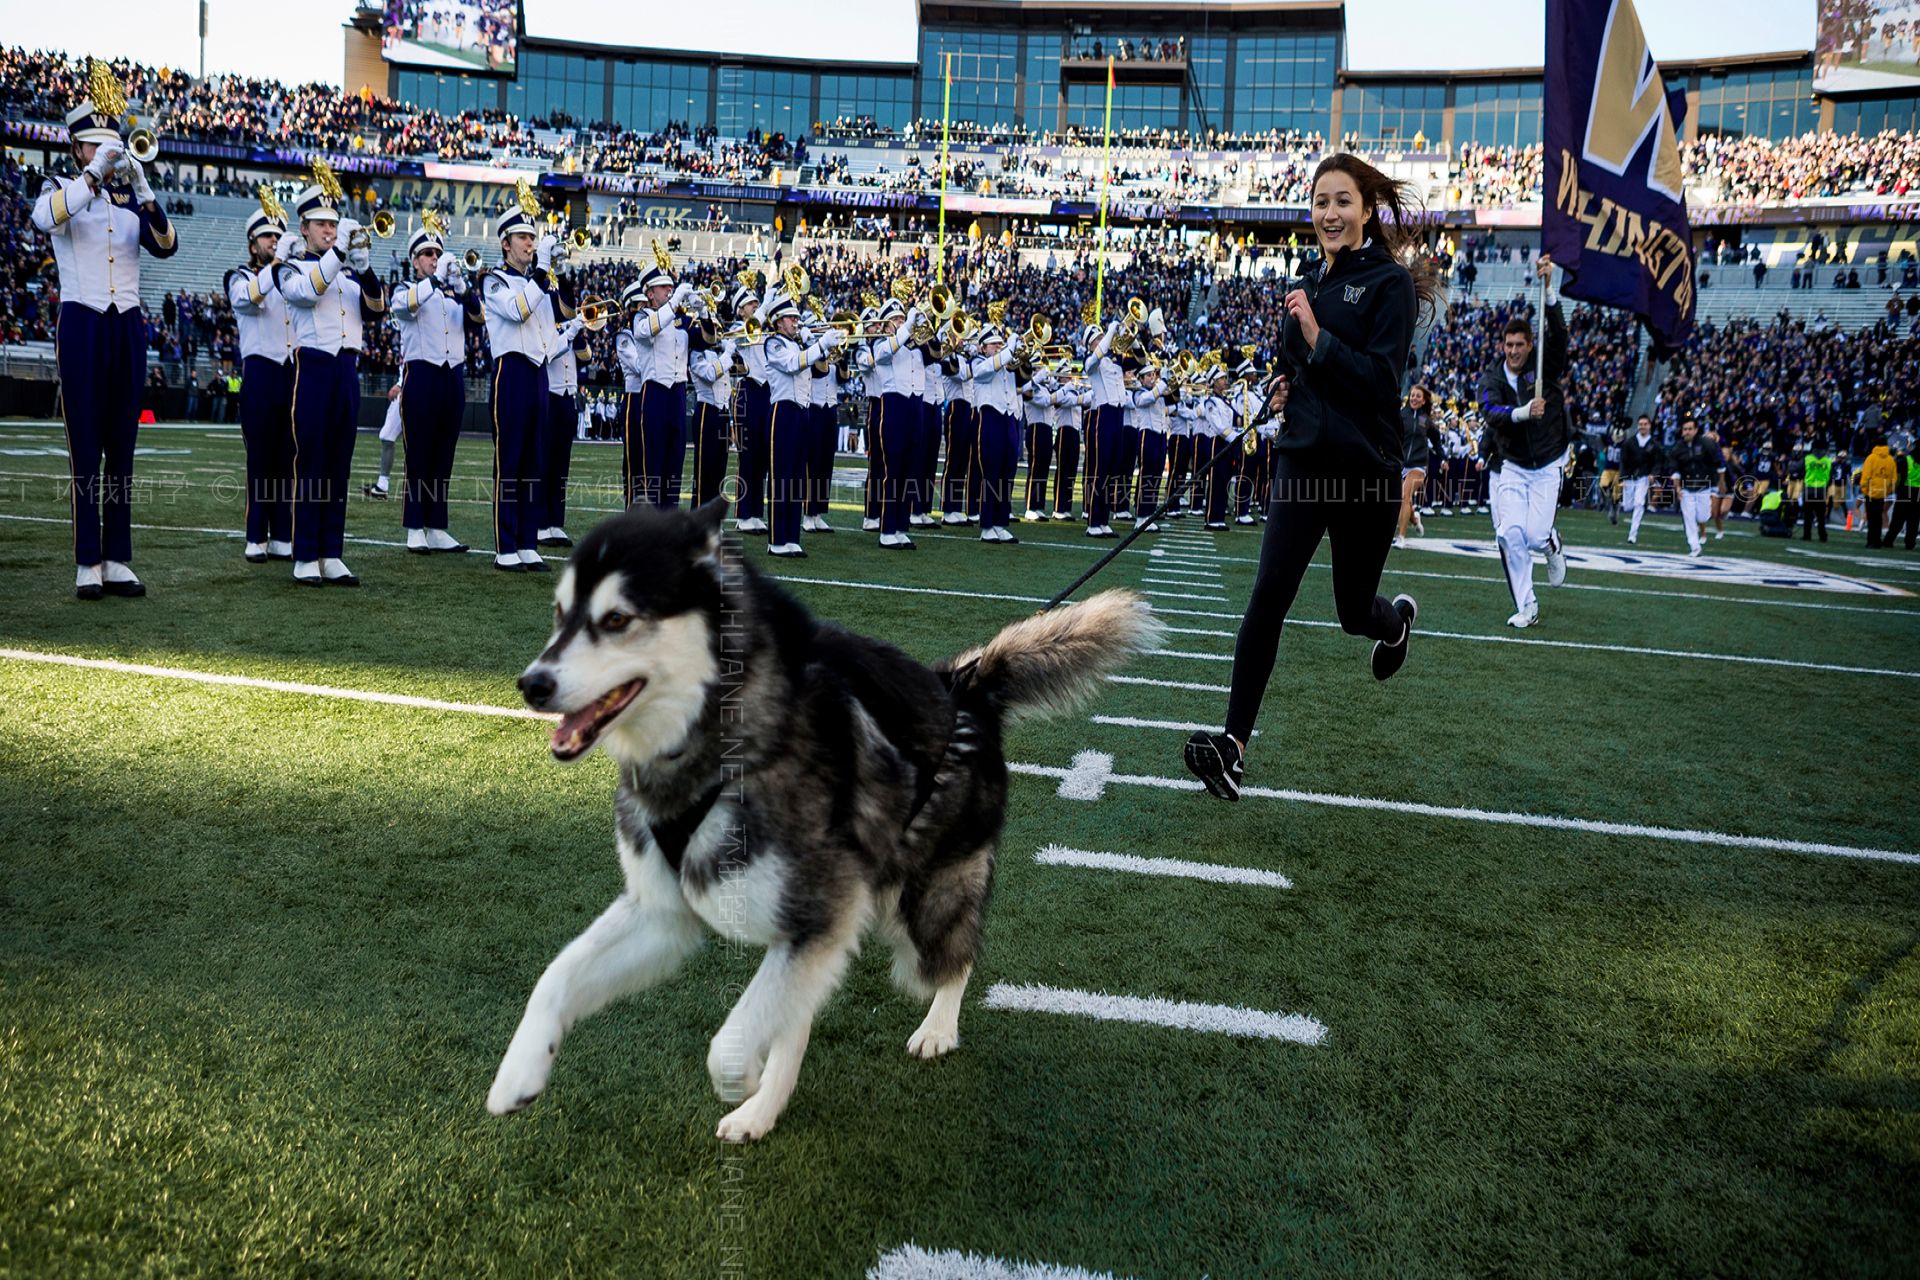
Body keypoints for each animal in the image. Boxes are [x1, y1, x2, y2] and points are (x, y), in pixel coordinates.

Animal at [487, 498, 1159, 1143]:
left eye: (617, 620)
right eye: (559, 614)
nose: (531, 685)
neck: (718, 747)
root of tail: (964, 686)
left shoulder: (820, 918)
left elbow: (725, 1048)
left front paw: (744, 1075)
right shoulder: (666, 912)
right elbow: (555, 976)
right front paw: (518, 1073)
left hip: (917, 909)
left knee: (957, 955)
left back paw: (937, 1028)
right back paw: (762, 1113)